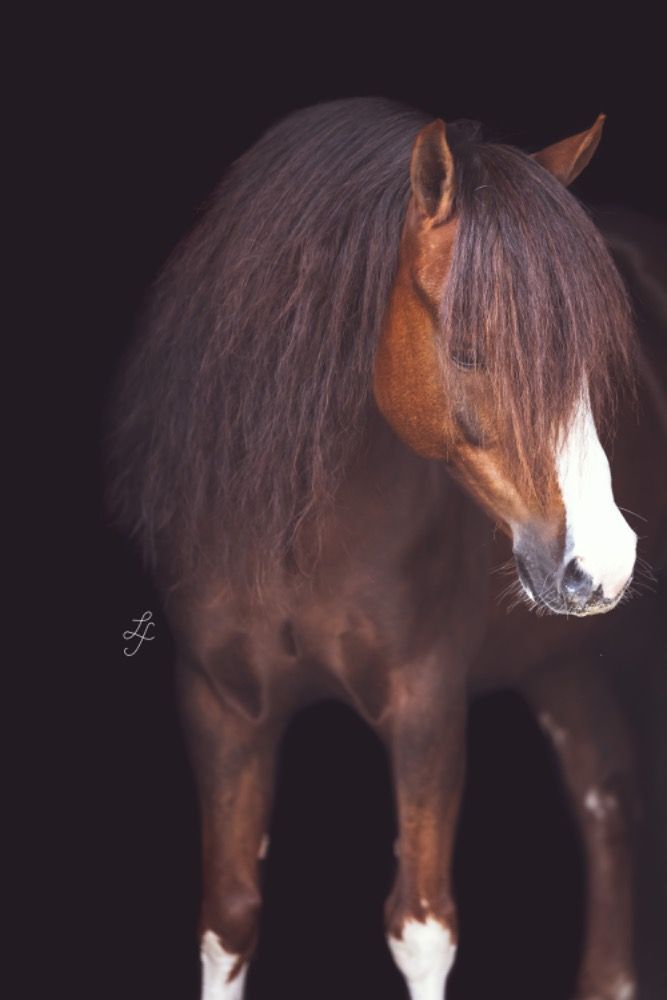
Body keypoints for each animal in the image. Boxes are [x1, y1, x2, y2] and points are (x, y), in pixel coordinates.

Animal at [106, 97, 644, 1000]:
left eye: (592, 360)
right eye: (466, 348)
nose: (602, 565)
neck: (295, 534)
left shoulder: (425, 702)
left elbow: (421, 927)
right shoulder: (219, 706)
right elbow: (228, 920)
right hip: (563, 666)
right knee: (603, 798)